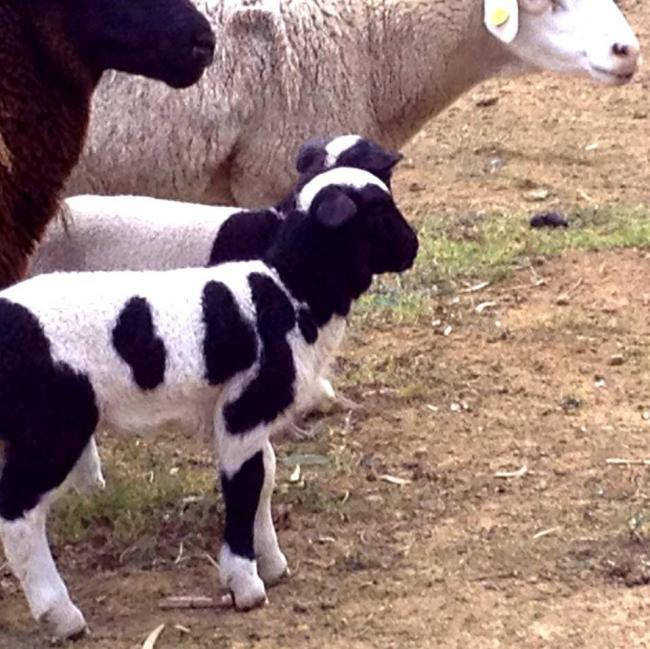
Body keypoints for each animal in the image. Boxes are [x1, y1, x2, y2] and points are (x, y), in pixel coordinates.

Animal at [0, 166, 419, 639]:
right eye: (378, 211)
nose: (414, 245)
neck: (289, 292)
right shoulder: (244, 412)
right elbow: (244, 486)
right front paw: (246, 584)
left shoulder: (243, 417)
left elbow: (264, 477)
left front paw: (271, 562)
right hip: (52, 426)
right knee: (18, 515)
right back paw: (61, 614)